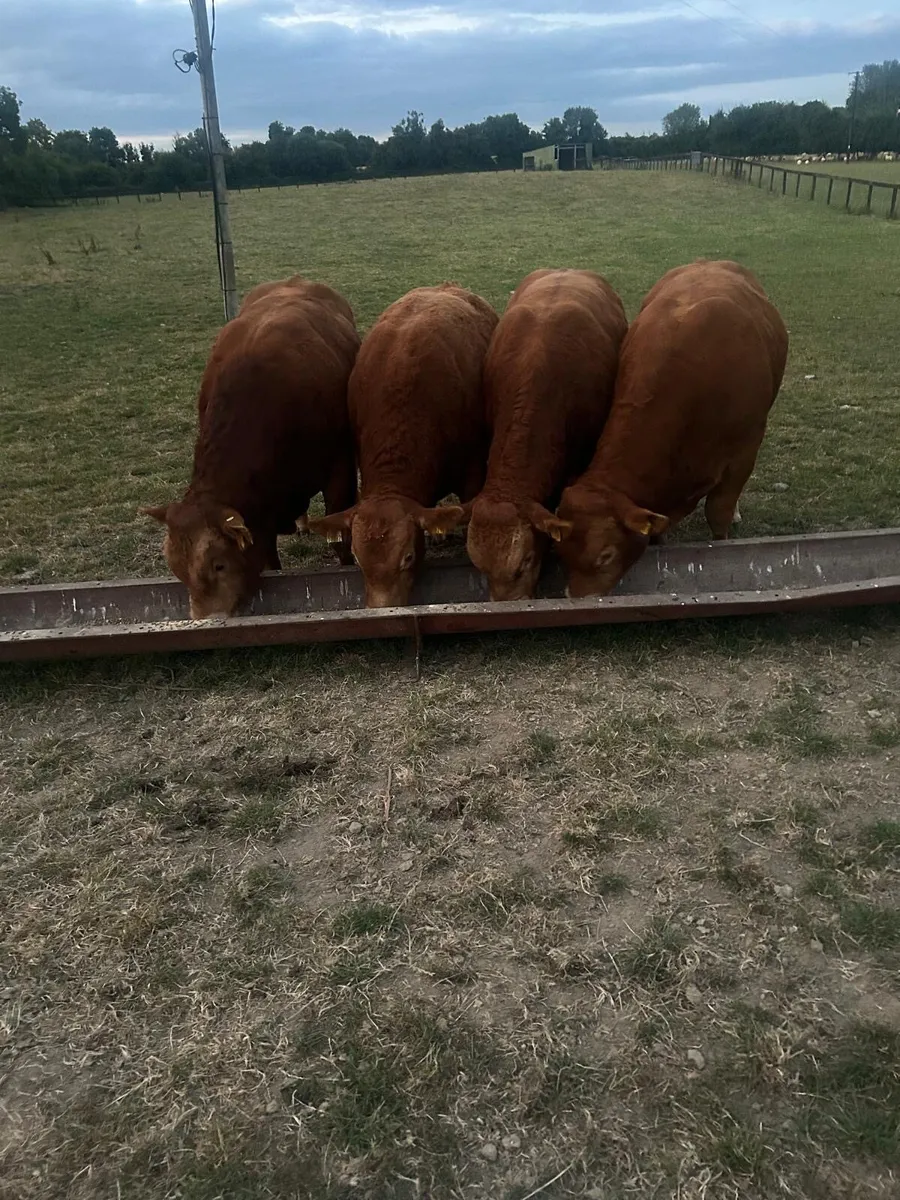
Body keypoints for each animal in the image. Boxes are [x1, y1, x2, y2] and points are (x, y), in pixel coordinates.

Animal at [141, 275, 360, 619]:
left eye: (219, 565)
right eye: (177, 570)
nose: (205, 619)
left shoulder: (339, 465)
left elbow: (339, 537)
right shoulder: (260, 509)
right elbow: (268, 555)